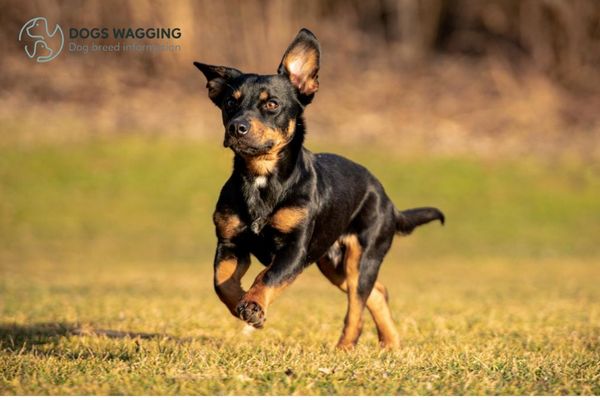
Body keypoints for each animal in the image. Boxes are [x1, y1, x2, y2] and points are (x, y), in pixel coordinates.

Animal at [195, 28, 442, 348]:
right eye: (229, 103)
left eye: (272, 104)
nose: (237, 127)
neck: (262, 177)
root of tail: (389, 202)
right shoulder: (229, 242)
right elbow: (221, 283)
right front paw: (248, 308)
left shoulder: (294, 250)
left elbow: (266, 276)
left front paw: (254, 304)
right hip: (332, 263)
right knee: (377, 293)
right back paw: (391, 343)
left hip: (362, 257)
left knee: (357, 306)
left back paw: (345, 348)